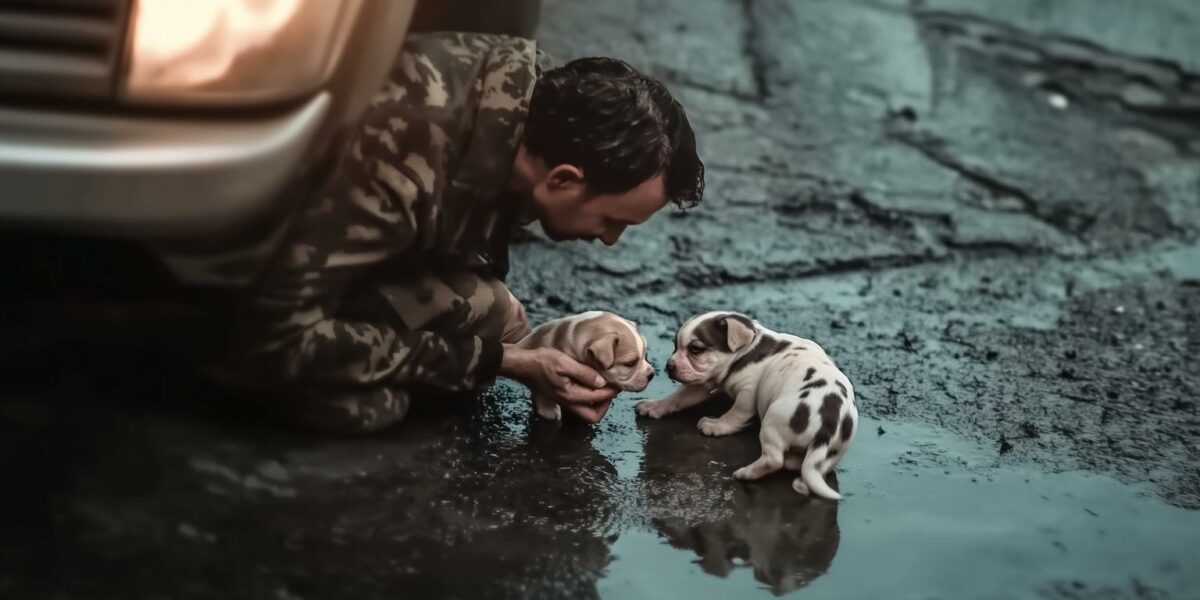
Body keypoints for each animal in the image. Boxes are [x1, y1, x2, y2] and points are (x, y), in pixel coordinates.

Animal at [633, 312, 859, 499]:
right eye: (674, 346)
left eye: (696, 350)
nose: (668, 366)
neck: (748, 349)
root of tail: (826, 429)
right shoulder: (701, 384)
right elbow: (678, 397)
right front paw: (655, 406)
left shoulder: (748, 393)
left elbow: (735, 414)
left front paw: (717, 425)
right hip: (831, 454)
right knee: (809, 468)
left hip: (773, 421)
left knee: (774, 459)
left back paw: (745, 473)